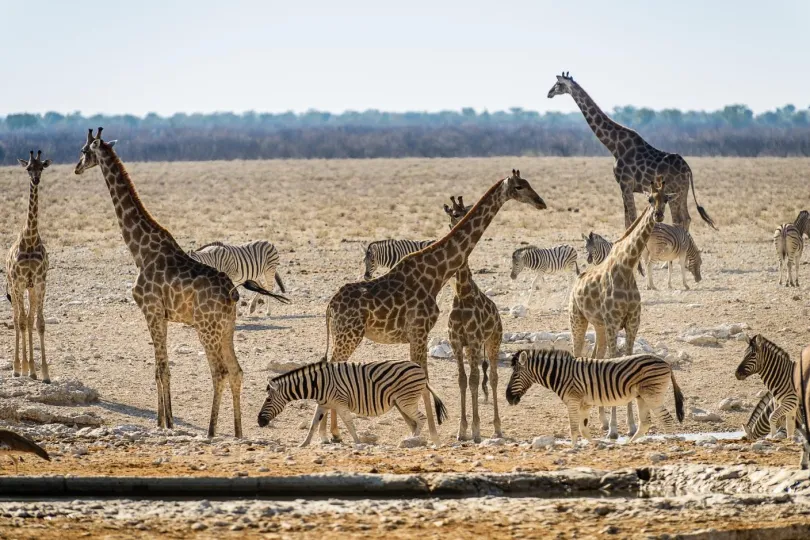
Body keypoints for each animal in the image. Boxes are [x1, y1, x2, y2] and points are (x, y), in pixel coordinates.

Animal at [257, 358, 447, 447]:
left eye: (268, 399)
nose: (259, 421)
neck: (318, 384)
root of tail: (420, 369)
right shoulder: (323, 404)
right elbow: (312, 424)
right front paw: (303, 444)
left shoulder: (340, 403)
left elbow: (349, 423)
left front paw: (357, 443)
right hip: (401, 403)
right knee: (415, 422)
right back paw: (411, 440)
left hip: (406, 401)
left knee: (421, 419)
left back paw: (412, 441)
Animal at [506, 349, 684, 445]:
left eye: (515, 375)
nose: (508, 398)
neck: (561, 375)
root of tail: (666, 362)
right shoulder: (584, 403)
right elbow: (583, 429)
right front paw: (595, 445)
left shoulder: (573, 400)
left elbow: (574, 428)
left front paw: (573, 448)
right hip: (642, 397)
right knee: (645, 423)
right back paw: (628, 444)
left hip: (652, 395)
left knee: (666, 419)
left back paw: (670, 444)